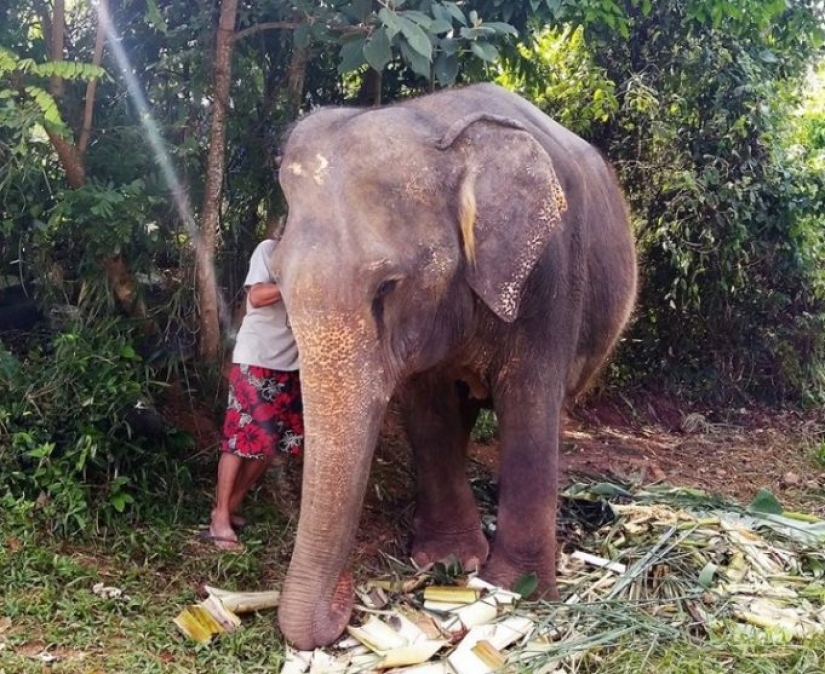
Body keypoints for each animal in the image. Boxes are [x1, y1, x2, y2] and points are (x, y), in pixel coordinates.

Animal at [272, 83, 637, 650]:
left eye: (387, 288)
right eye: (277, 279)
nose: (347, 601)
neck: (436, 127)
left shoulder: (549, 274)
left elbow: (529, 406)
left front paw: (516, 590)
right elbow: (432, 411)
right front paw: (447, 560)